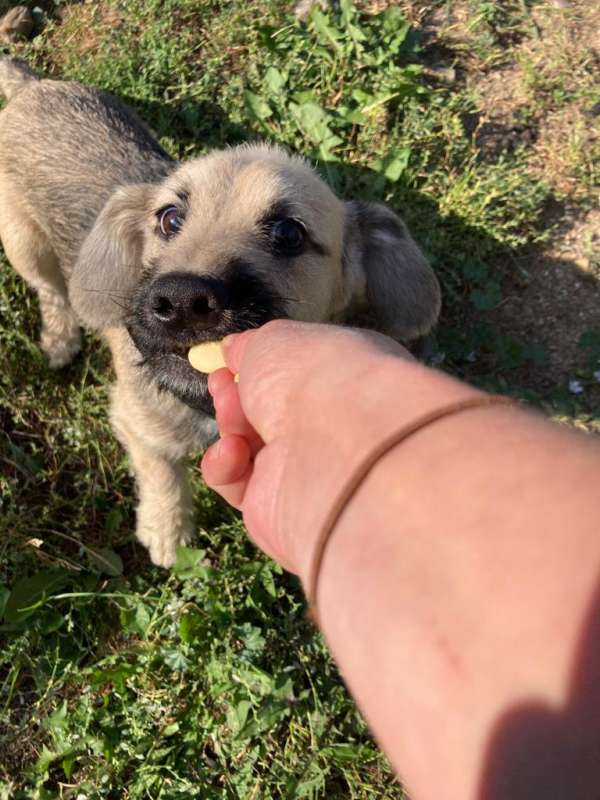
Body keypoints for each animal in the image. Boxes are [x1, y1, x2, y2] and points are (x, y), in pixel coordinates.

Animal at [0, 57, 441, 566]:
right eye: (169, 218)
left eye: (288, 233)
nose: (180, 300)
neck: (202, 405)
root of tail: (30, 87)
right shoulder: (135, 423)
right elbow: (163, 477)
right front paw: (167, 534)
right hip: (23, 243)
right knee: (51, 291)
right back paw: (60, 339)